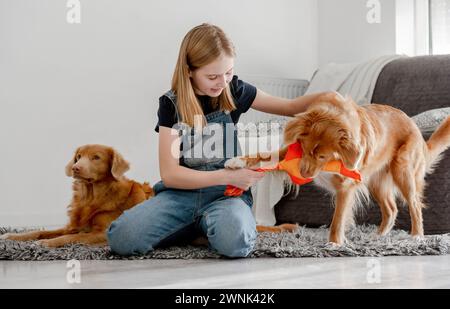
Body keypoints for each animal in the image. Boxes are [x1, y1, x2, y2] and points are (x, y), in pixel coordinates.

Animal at [0, 143, 154, 247]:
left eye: (96, 157)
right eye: (78, 157)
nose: (75, 168)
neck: (91, 196)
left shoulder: (103, 232)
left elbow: (71, 238)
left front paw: (45, 243)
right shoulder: (73, 227)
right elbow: (39, 232)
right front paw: (10, 235)